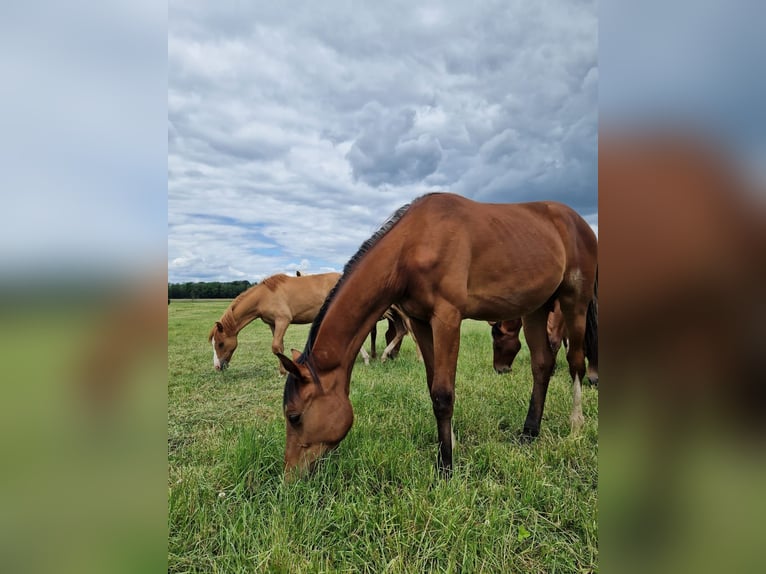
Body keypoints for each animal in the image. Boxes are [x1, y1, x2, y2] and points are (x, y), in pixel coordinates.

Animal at [280, 194, 604, 476]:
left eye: (294, 416)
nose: (290, 477)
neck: (414, 244)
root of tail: (580, 223)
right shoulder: (421, 321)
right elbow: (432, 383)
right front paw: (450, 445)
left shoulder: (447, 318)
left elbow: (443, 393)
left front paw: (446, 466)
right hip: (535, 309)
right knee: (542, 364)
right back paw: (529, 432)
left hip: (574, 301)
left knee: (575, 361)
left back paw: (576, 426)